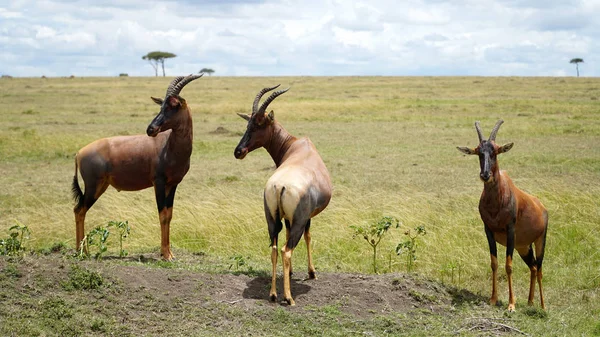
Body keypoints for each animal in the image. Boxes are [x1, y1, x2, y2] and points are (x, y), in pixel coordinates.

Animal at [71, 73, 203, 260]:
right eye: (161, 105)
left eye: (173, 105)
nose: (151, 129)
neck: (168, 146)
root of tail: (79, 153)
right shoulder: (158, 183)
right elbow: (162, 215)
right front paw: (165, 255)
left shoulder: (173, 184)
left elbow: (169, 215)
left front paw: (169, 252)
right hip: (93, 186)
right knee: (79, 210)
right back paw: (81, 252)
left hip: (101, 186)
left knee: (80, 210)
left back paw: (83, 251)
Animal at [233, 84, 332, 304]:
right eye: (249, 124)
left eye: (257, 124)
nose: (238, 151)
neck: (299, 146)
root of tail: (280, 186)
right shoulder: (305, 218)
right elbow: (309, 237)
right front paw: (312, 272)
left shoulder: (286, 218)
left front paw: (293, 272)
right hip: (298, 221)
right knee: (286, 250)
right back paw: (288, 298)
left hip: (271, 219)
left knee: (274, 248)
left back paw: (272, 294)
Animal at [460, 119, 548, 310]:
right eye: (479, 152)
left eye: (495, 151)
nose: (485, 175)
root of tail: (543, 208)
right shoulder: (488, 231)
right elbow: (494, 263)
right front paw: (493, 299)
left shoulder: (510, 231)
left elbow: (509, 266)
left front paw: (511, 304)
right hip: (523, 246)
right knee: (533, 267)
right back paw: (530, 302)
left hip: (539, 241)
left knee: (540, 269)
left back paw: (543, 307)